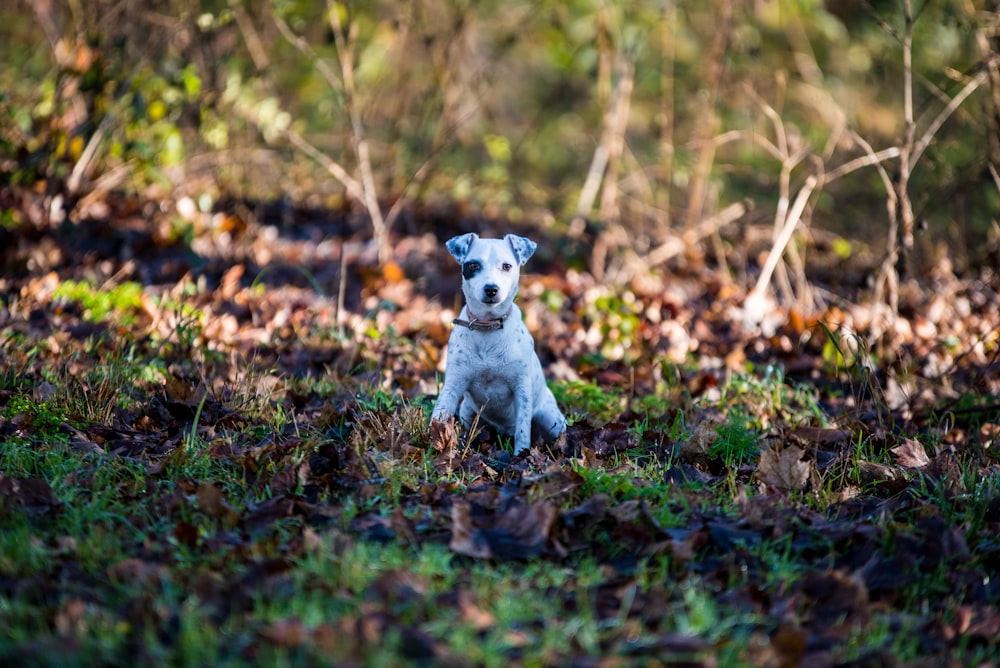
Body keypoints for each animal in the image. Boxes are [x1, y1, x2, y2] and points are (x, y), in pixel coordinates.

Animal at [432, 232, 568, 456]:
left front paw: (520, 456)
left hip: (551, 419)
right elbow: (440, 415)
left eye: (506, 266)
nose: (491, 289)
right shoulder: (453, 384)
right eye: (474, 265)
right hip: (467, 411)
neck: (488, 328)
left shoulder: (522, 389)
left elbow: (523, 430)